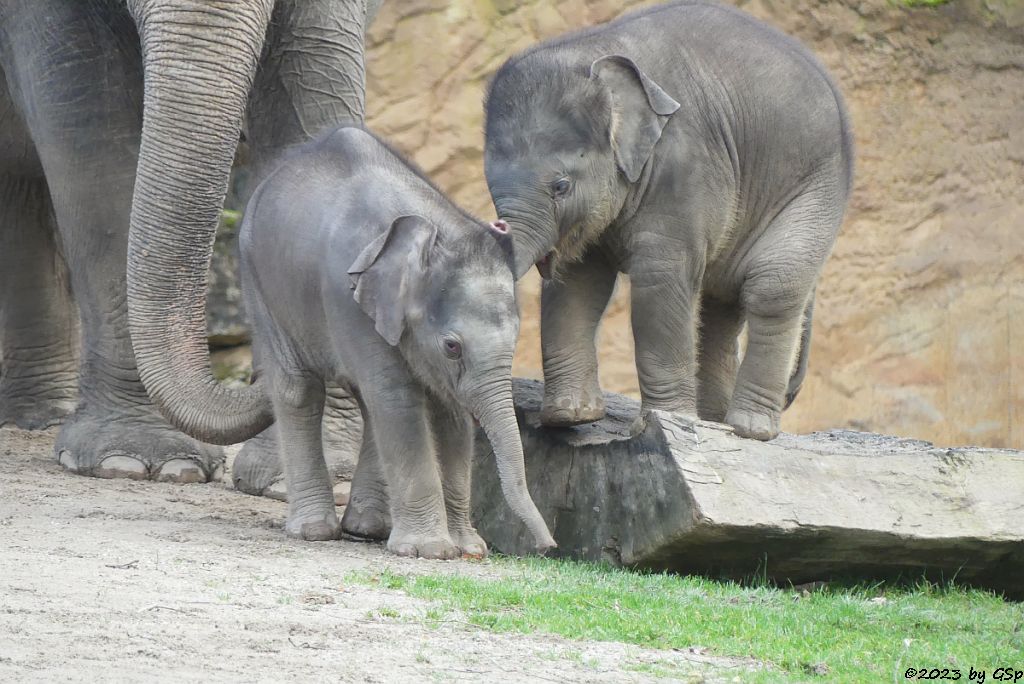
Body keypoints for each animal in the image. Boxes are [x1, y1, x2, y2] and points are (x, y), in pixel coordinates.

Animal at [236, 125, 557, 557]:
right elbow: (398, 399)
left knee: (367, 403)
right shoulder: (348, 299)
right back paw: (314, 531)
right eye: (452, 346)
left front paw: (468, 548)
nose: (549, 546)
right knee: (300, 391)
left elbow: (448, 412)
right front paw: (430, 550)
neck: (429, 235)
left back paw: (368, 527)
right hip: (260, 284)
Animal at [483, 0, 851, 438]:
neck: (596, 52)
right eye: (490, 184)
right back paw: (716, 422)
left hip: (816, 187)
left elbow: (659, 279)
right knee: (724, 304)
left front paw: (661, 423)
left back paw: (749, 429)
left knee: (772, 286)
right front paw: (571, 417)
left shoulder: (684, 166)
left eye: (560, 186)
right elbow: (579, 281)